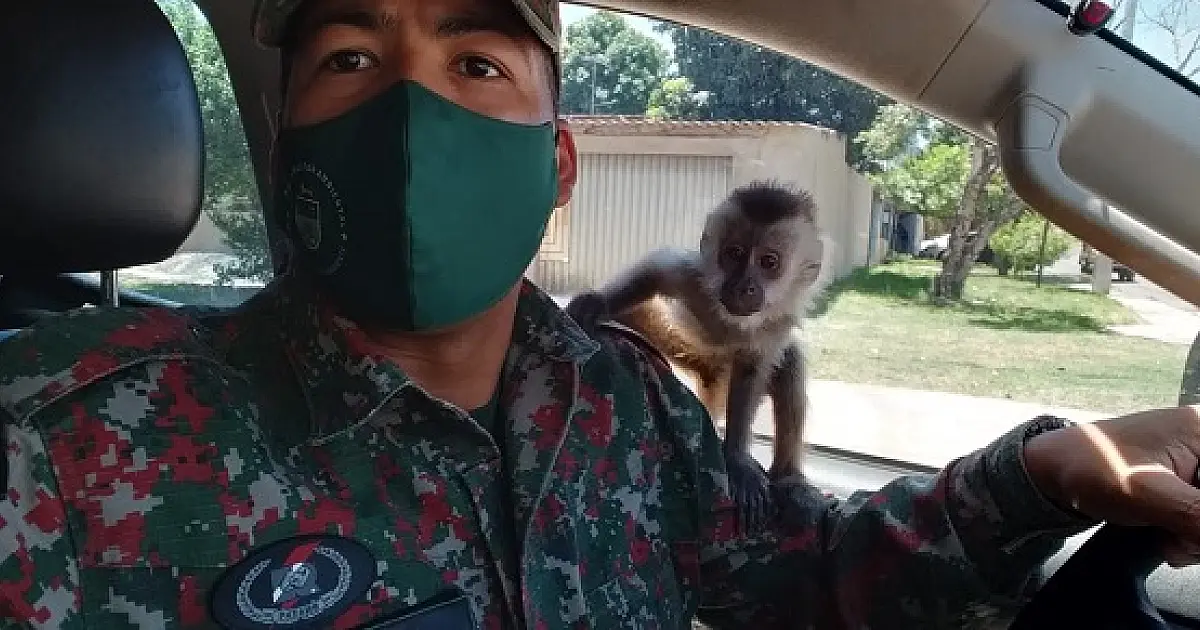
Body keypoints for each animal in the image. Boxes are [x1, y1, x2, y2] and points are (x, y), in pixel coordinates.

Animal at [565, 181, 827, 531]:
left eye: (769, 262)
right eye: (734, 254)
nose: (744, 285)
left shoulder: (776, 322)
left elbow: (754, 370)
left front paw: (737, 458)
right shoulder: (693, 278)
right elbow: (656, 271)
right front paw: (596, 302)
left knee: (789, 363)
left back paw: (790, 478)